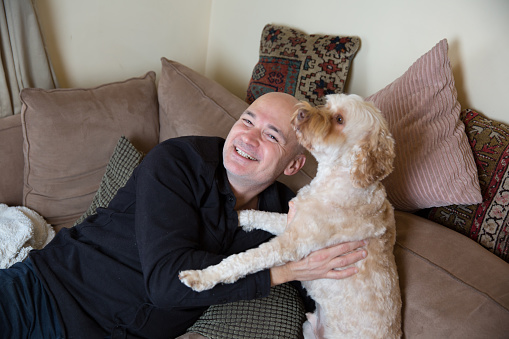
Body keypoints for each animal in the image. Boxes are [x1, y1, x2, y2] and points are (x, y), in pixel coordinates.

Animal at [181, 93, 402, 339]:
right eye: (328, 104)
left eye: (339, 119)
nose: (302, 111)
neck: (341, 183)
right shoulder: (292, 220)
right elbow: (263, 215)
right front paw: (238, 216)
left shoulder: (292, 243)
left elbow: (243, 260)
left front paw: (201, 277)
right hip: (308, 328)